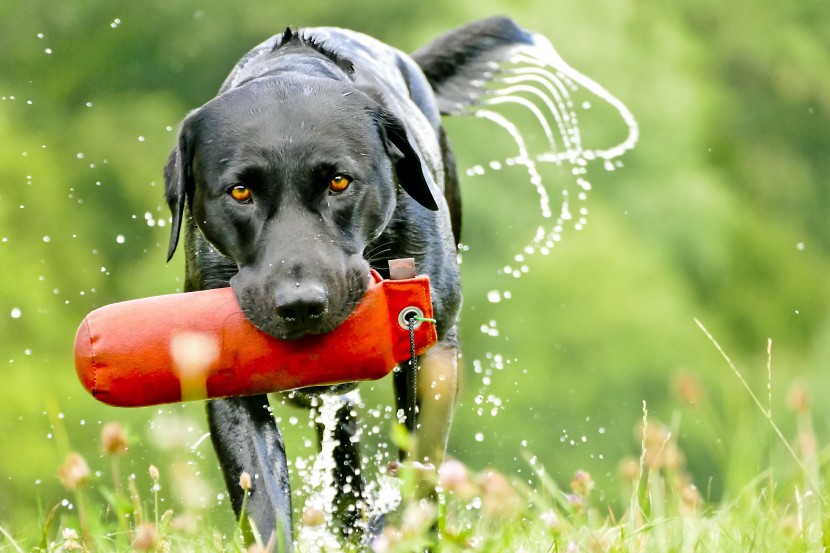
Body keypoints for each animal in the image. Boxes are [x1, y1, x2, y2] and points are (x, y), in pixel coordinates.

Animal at [164, 16, 540, 548]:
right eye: (240, 192)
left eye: (339, 182)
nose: (301, 305)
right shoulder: (229, 384)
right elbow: (262, 500)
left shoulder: (433, 350)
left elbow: (420, 469)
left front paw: (400, 527)